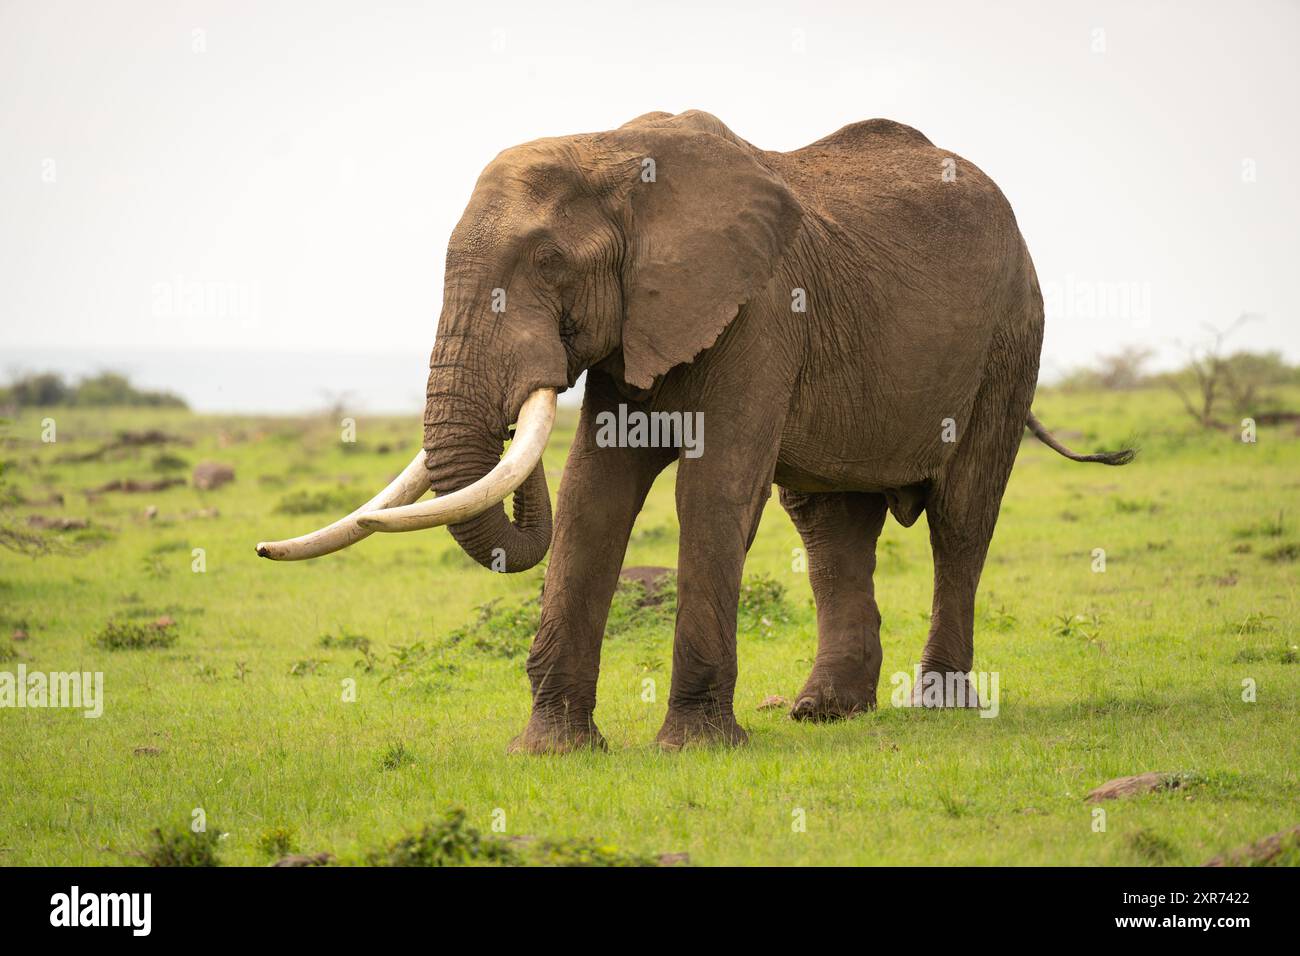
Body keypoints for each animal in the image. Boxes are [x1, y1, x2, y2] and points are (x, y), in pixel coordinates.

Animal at [257, 110, 1133, 752]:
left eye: (548, 263)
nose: (530, 386)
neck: (612, 152)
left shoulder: (763, 309)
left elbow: (713, 493)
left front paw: (695, 748)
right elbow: (592, 495)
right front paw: (553, 750)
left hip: (1011, 339)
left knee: (961, 518)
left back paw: (936, 707)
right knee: (829, 527)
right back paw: (824, 712)